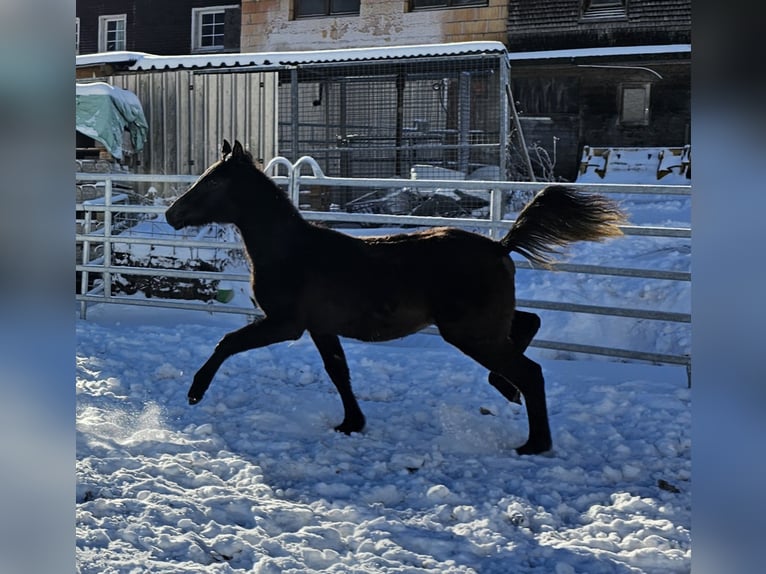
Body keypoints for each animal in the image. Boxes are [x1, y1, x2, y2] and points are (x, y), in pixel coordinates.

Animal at [165, 140, 627, 455]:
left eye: (213, 181)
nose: (171, 214)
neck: (291, 251)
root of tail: (501, 246)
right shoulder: (320, 328)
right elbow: (339, 372)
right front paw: (352, 423)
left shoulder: (286, 324)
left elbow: (228, 342)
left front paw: (195, 392)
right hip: (483, 325)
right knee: (529, 325)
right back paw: (505, 388)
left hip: (470, 332)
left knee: (531, 371)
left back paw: (533, 442)